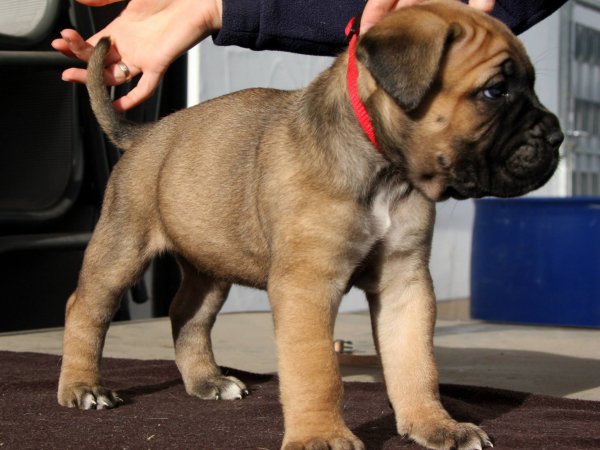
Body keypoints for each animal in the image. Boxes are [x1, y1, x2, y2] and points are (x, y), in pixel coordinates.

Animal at [56, 1, 564, 448]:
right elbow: (317, 371)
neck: (382, 164)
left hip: (210, 260)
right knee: (85, 308)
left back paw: (207, 381)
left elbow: (416, 362)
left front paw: (435, 425)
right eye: (494, 92)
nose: (558, 136)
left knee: (187, 314)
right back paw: (83, 387)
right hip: (122, 247)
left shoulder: (405, 283)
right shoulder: (307, 284)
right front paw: (321, 435)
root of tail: (144, 134)